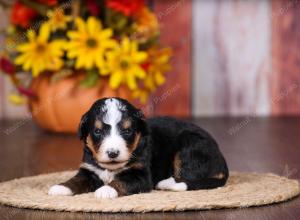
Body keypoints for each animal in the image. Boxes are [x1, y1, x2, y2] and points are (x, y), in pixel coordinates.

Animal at [48, 97, 227, 199]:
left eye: (127, 131)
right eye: (97, 131)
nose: (113, 153)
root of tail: (221, 159)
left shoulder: (140, 175)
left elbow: (121, 181)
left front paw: (106, 190)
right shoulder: (89, 170)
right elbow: (76, 180)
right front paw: (60, 187)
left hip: (189, 145)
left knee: (187, 179)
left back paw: (166, 183)